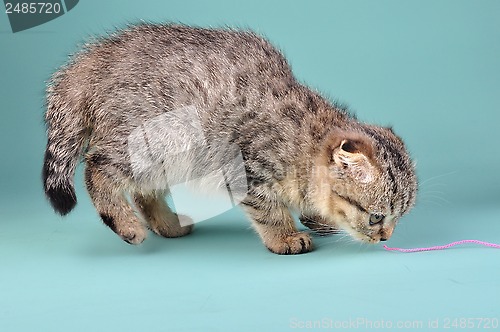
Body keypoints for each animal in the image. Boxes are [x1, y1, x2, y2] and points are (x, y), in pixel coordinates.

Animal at [44, 24, 418, 254]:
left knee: (142, 190)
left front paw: (317, 218)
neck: (303, 140)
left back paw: (167, 223)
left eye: (398, 217)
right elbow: (268, 209)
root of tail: (92, 60)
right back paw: (125, 223)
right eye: (376, 217)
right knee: (97, 167)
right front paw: (285, 236)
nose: (387, 237)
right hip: (156, 139)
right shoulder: (246, 167)